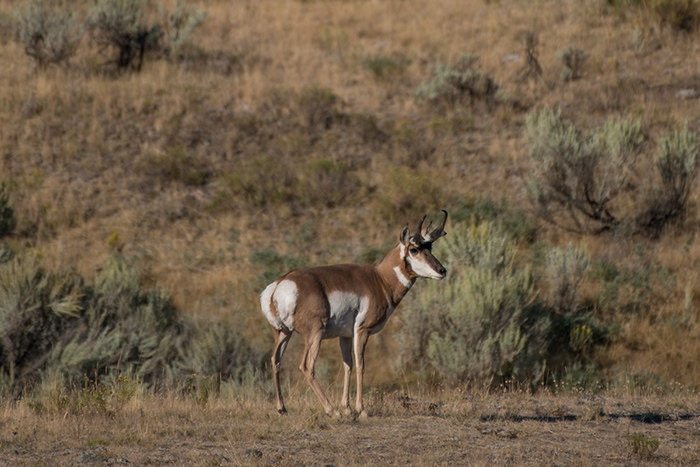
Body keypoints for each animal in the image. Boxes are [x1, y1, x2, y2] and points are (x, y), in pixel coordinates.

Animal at [258, 211, 448, 416]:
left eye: (430, 247)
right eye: (414, 249)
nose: (442, 270)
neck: (380, 280)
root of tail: (280, 284)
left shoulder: (346, 335)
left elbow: (347, 365)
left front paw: (347, 408)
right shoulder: (362, 330)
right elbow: (360, 365)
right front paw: (361, 409)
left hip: (283, 332)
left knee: (275, 360)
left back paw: (282, 408)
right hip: (315, 333)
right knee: (307, 366)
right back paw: (332, 411)